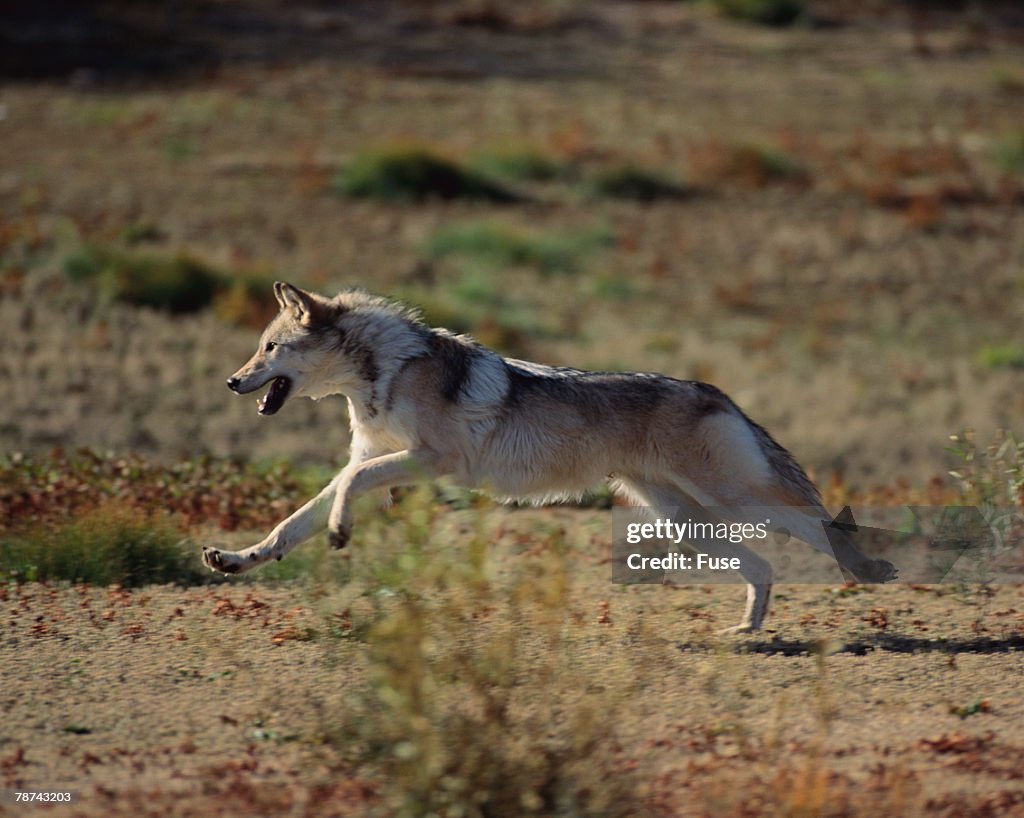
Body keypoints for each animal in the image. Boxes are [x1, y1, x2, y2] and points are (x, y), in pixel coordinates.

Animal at [202, 282, 897, 632]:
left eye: (268, 348)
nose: (232, 382)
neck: (381, 376)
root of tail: (716, 390)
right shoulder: (380, 458)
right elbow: (295, 520)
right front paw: (237, 559)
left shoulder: (435, 461)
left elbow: (349, 488)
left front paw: (342, 531)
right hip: (685, 520)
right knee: (763, 568)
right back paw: (747, 632)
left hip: (733, 499)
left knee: (818, 523)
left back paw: (867, 571)